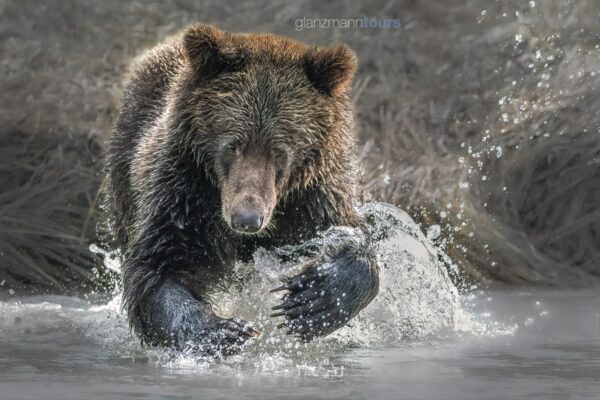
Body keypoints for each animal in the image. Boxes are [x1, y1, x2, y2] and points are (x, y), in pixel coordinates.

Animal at [101, 24, 378, 356]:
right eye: (232, 145)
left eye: (279, 151)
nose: (247, 219)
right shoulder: (183, 193)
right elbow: (158, 267)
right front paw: (223, 331)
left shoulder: (312, 198)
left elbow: (350, 238)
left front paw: (313, 298)